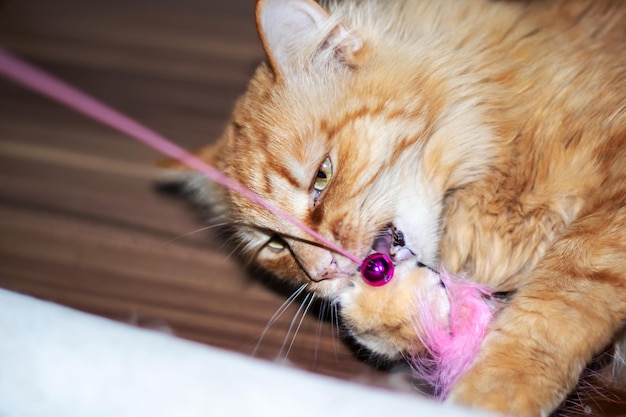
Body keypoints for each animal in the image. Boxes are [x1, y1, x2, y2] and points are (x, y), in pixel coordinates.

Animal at [163, 1, 620, 414]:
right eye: (275, 245)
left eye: (322, 176)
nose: (322, 272)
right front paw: (388, 310)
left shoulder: (608, 214)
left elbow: (559, 304)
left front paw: (493, 393)